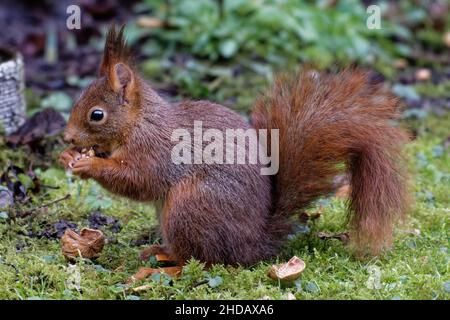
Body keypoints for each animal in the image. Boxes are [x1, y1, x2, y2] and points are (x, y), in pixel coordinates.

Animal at [59, 25, 412, 264]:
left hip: (190, 207)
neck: (138, 123)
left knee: (200, 258)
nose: (67, 137)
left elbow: (137, 180)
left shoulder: (156, 150)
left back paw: (165, 260)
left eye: (97, 115)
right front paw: (67, 156)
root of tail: (254, 245)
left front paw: (89, 163)